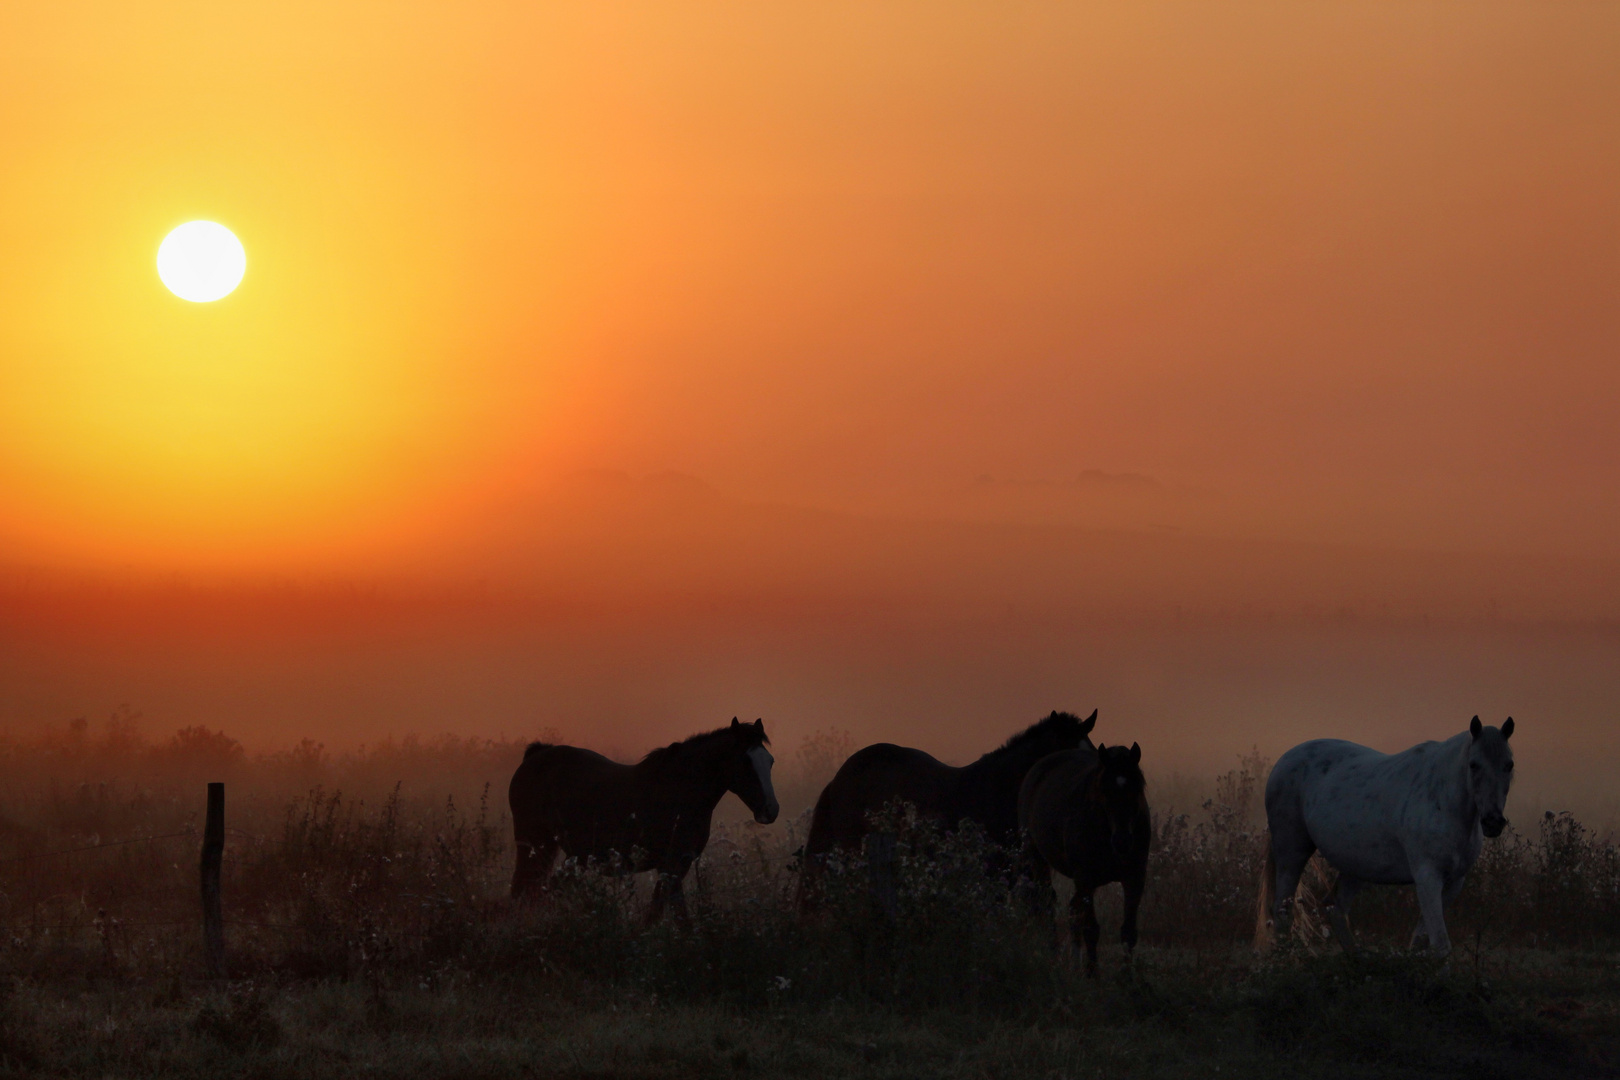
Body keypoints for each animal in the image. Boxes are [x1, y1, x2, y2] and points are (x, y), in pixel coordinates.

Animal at [508, 718, 780, 919]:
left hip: (564, 855)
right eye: (745, 761)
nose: (771, 810)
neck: (679, 791)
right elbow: (669, 916)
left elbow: (664, 913)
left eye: (770, 761)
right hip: (534, 847)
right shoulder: (671, 865)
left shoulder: (678, 866)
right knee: (523, 892)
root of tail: (536, 756)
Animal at [1017, 744, 1146, 977]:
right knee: (1048, 904)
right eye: (1104, 791)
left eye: (1137, 788)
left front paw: (1127, 977)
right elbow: (1091, 928)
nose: (1122, 841)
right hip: (1037, 860)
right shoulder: (1086, 879)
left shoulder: (1135, 878)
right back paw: (1054, 954)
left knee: (1073, 910)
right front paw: (1092, 972)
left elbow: (1128, 931)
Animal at [1250, 718, 1516, 952]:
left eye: (1509, 765)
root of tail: (1284, 761)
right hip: (1292, 852)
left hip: (1355, 867)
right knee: (1282, 912)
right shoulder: (1428, 878)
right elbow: (1440, 944)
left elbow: (1422, 939)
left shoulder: (1454, 882)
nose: (1492, 821)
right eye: (1474, 764)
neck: (1443, 801)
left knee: (1335, 908)